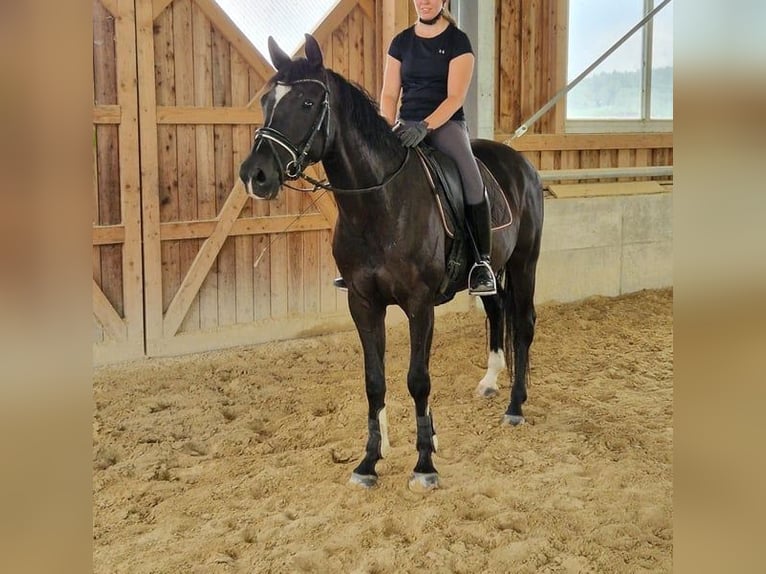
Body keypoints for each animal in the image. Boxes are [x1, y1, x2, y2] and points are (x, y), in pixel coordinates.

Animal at [239, 34, 544, 491]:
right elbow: (374, 381)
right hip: (490, 273)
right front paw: (369, 461)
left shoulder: (419, 304)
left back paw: (515, 406)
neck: (379, 203)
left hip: (525, 263)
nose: (254, 175)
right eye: (265, 101)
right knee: (496, 310)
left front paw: (424, 463)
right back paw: (490, 382)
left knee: (522, 323)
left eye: (308, 103)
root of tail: (523, 165)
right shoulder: (363, 303)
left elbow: (417, 379)